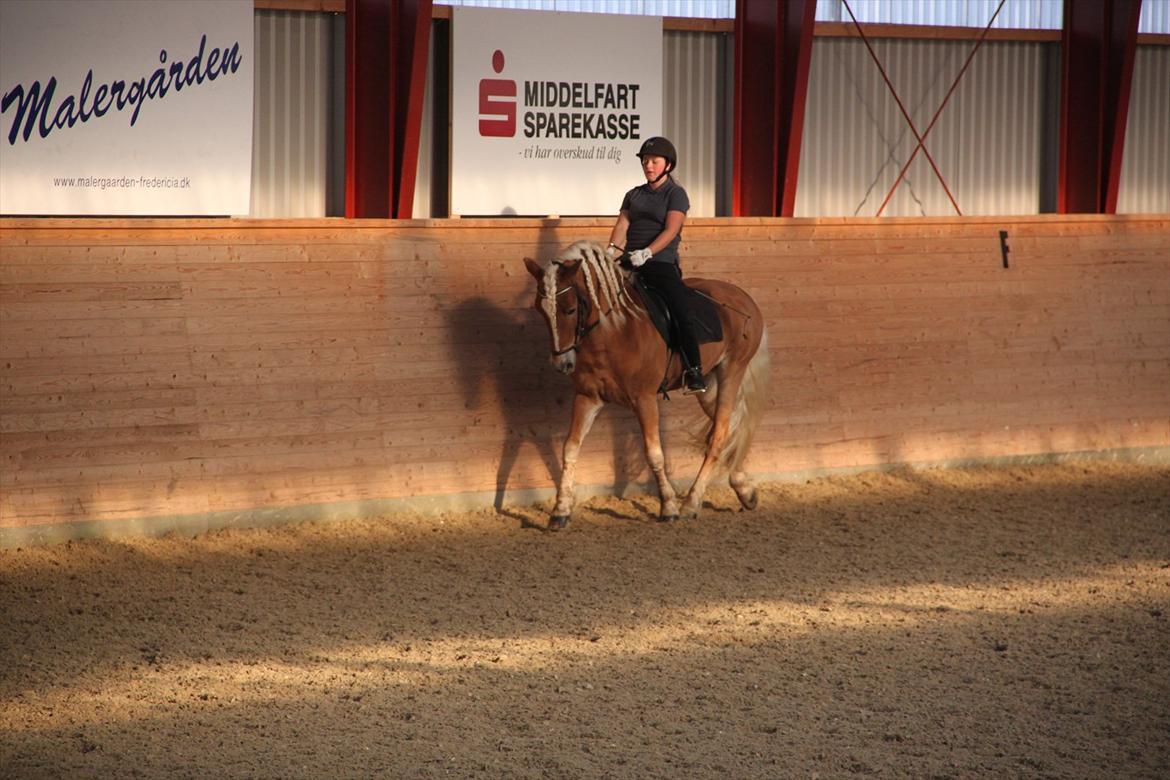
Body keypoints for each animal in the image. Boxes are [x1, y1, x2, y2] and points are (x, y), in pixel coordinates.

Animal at [524, 238, 767, 530]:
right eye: (540, 310)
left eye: (570, 309)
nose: (562, 364)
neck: (614, 331)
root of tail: (743, 297)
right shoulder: (587, 397)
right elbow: (570, 449)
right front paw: (560, 511)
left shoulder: (645, 399)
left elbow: (654, 453)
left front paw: (669, 507)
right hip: (710, 387)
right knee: (732, 427)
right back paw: (744, 489)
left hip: (731, 371)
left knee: (719, 435)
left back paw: (691, 503)